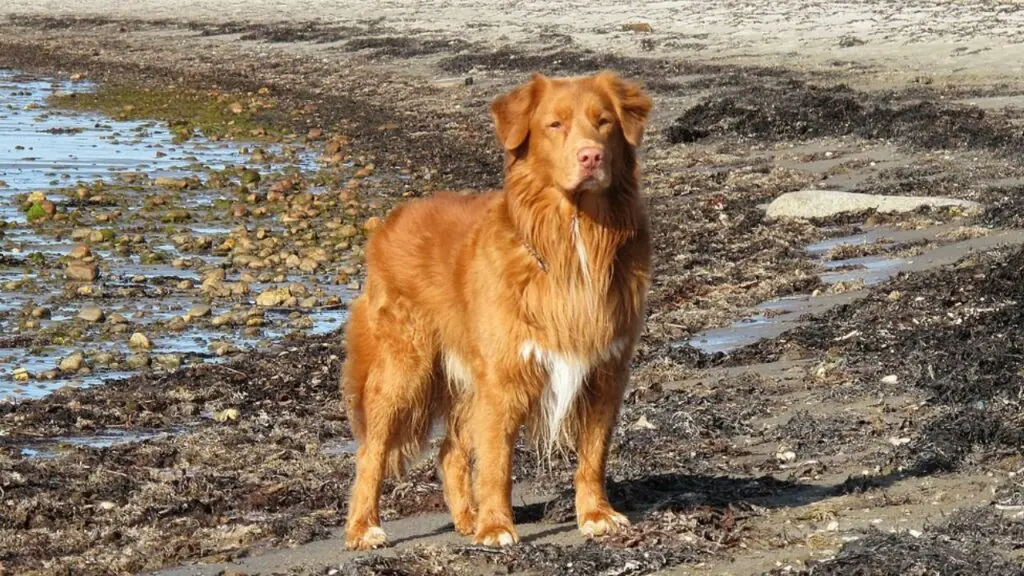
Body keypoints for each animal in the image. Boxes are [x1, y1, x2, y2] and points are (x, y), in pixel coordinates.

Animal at [339, 70, 651, 545]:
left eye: (605, 123)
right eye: (554, 125)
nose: (591, 156)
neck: (573, 240)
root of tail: (388, 221)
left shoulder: (605, 370)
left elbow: (593, 454)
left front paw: (596, 514)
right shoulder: (503, 377)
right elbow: (497, 462)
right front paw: (497, 526)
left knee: (449, 451)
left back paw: (467, 518)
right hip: (404, 370)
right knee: (371, 452)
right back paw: (364, 527)